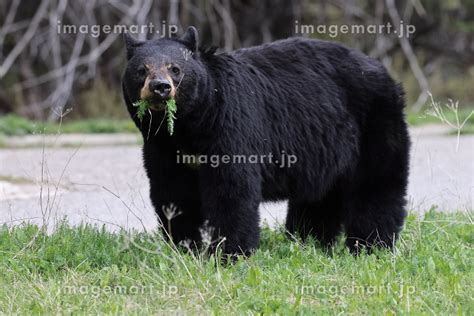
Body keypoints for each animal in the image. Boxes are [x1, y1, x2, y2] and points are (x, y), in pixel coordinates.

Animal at [122, 25, 412, 256]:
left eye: (175, 68)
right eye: (142, 70)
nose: (160, 87)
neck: (188, 127)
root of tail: (384, 71)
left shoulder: (230, 128)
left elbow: (231, 191)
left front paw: (229, 252)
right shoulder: (161, 148)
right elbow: (173, 194)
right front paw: (184, 247)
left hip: (375, 124)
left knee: (375, 186)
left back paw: (371, 245)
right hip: (325, 151)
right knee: (318, 198)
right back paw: (310, 241)